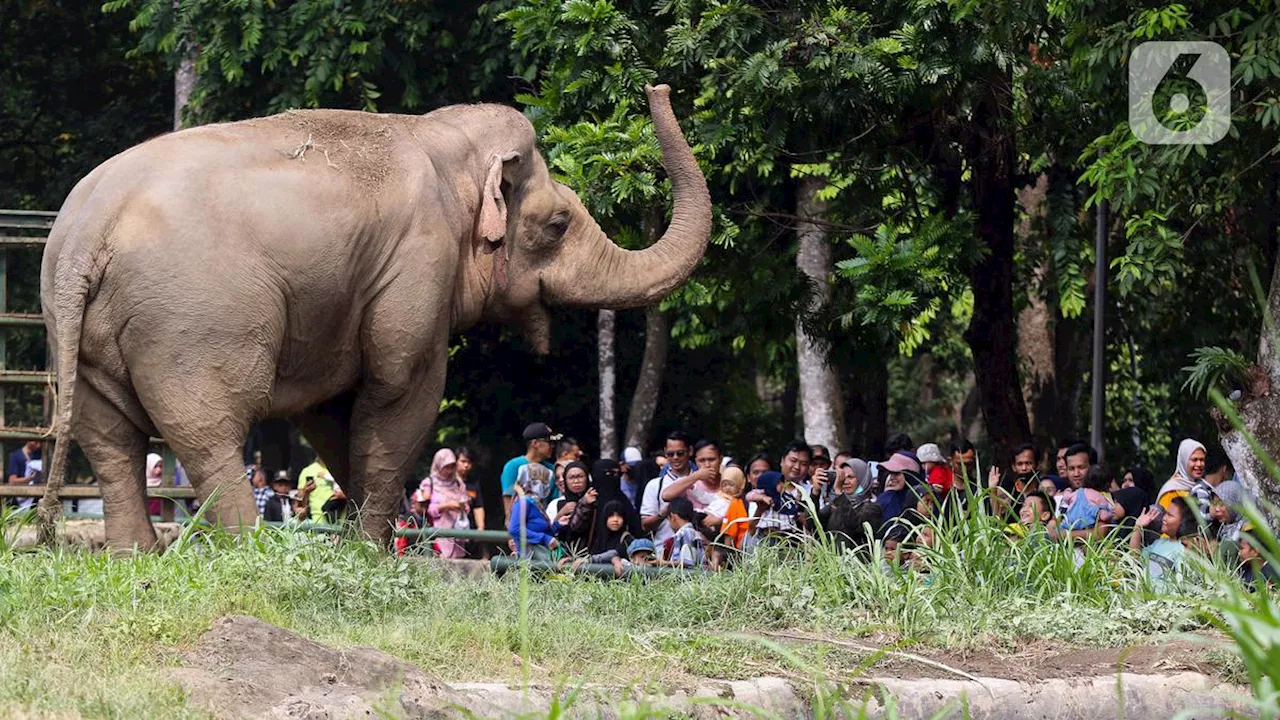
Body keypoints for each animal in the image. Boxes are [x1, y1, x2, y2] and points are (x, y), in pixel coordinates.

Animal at [40, 82, 711, 548]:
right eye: (558, 223)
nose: (659, 88)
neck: (443, 138)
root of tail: (83, 236)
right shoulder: (417, 263)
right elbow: (399, 392)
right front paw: (372, 555)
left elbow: (333, 413)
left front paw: (363, 544)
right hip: (193, 322)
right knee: (209, 436)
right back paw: (249, 553)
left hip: (81, 330)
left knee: (110, 442)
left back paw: (136, 558)